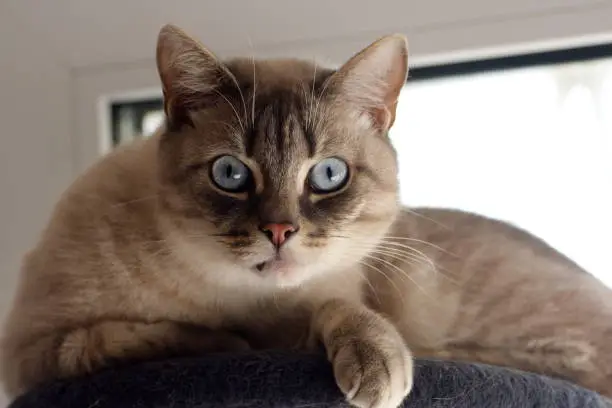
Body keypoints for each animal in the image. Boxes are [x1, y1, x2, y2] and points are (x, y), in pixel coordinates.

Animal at [1, 23, 612, 406]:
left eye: (328, 175)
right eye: (231, 173)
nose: (279, 231)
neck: (237, 300)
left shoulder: (320, 303)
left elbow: (336, 310)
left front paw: (375, 361)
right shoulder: (36, 357)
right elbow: (136, 337)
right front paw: (230, 342)